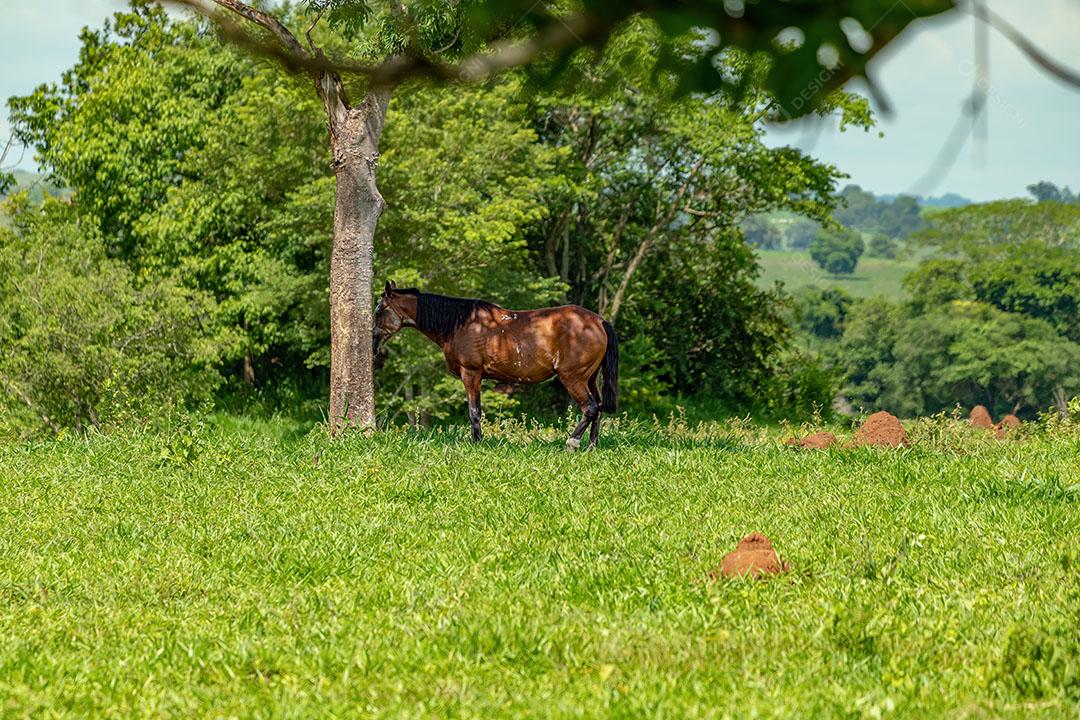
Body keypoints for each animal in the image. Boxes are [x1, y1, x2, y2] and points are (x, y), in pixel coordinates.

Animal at [375, 280, 622, 451]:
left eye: (379, 310)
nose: (373, 344)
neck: (459, 323)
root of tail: (599, 321)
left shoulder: (471, 374)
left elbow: (474, 411)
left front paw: (476, 443)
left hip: (573, 377)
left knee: (590, 407)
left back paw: (572, 443)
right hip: (589, 378)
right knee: (598, 407)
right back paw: (591, 447)